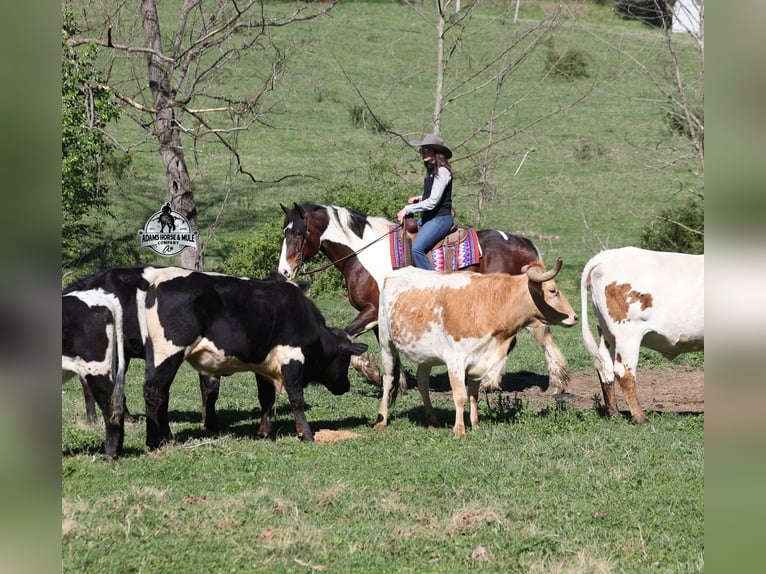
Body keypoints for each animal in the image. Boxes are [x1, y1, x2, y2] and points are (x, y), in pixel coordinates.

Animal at [277, 202, 570, 395]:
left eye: (299, 233)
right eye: (285, 232)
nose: (284, 271)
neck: (363, 254)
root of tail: (525, 244)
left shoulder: (371, 309)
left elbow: (348, 335)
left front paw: (371, 372)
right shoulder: (381, 315)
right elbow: (386, 348)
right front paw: (396, 384)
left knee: (533, 336)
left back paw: (547, 383)